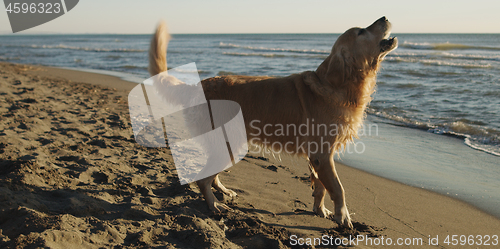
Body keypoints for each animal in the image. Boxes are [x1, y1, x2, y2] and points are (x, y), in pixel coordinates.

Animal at [147, 16, 398, 229]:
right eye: (361, 31)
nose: (385, 17)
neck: (338, 84)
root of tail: (196, 86)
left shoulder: (317, 157)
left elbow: (320, 187)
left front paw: (321, 210)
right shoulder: (323, 154)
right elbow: (338, 188)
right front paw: (343, 217)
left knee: (212, 174)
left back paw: (224, 192)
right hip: (232, 145)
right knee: (202, 179)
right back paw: (214, 205)